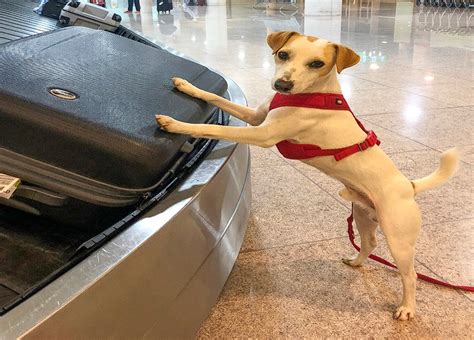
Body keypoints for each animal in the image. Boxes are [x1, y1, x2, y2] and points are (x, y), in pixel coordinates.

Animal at [156, 30, 460, 320]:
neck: (310, 96)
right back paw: (356, 262)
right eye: (283, 54)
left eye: (317, 64)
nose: (282, 85)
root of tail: (409, 185)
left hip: (399, 238)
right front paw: (187, 86)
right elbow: (217, 97)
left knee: (410, 275)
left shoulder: (262, 134)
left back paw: (407, 307)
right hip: (363, 215)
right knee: (370, 243)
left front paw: (176, 124)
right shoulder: (256, 118)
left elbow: (217, 129)